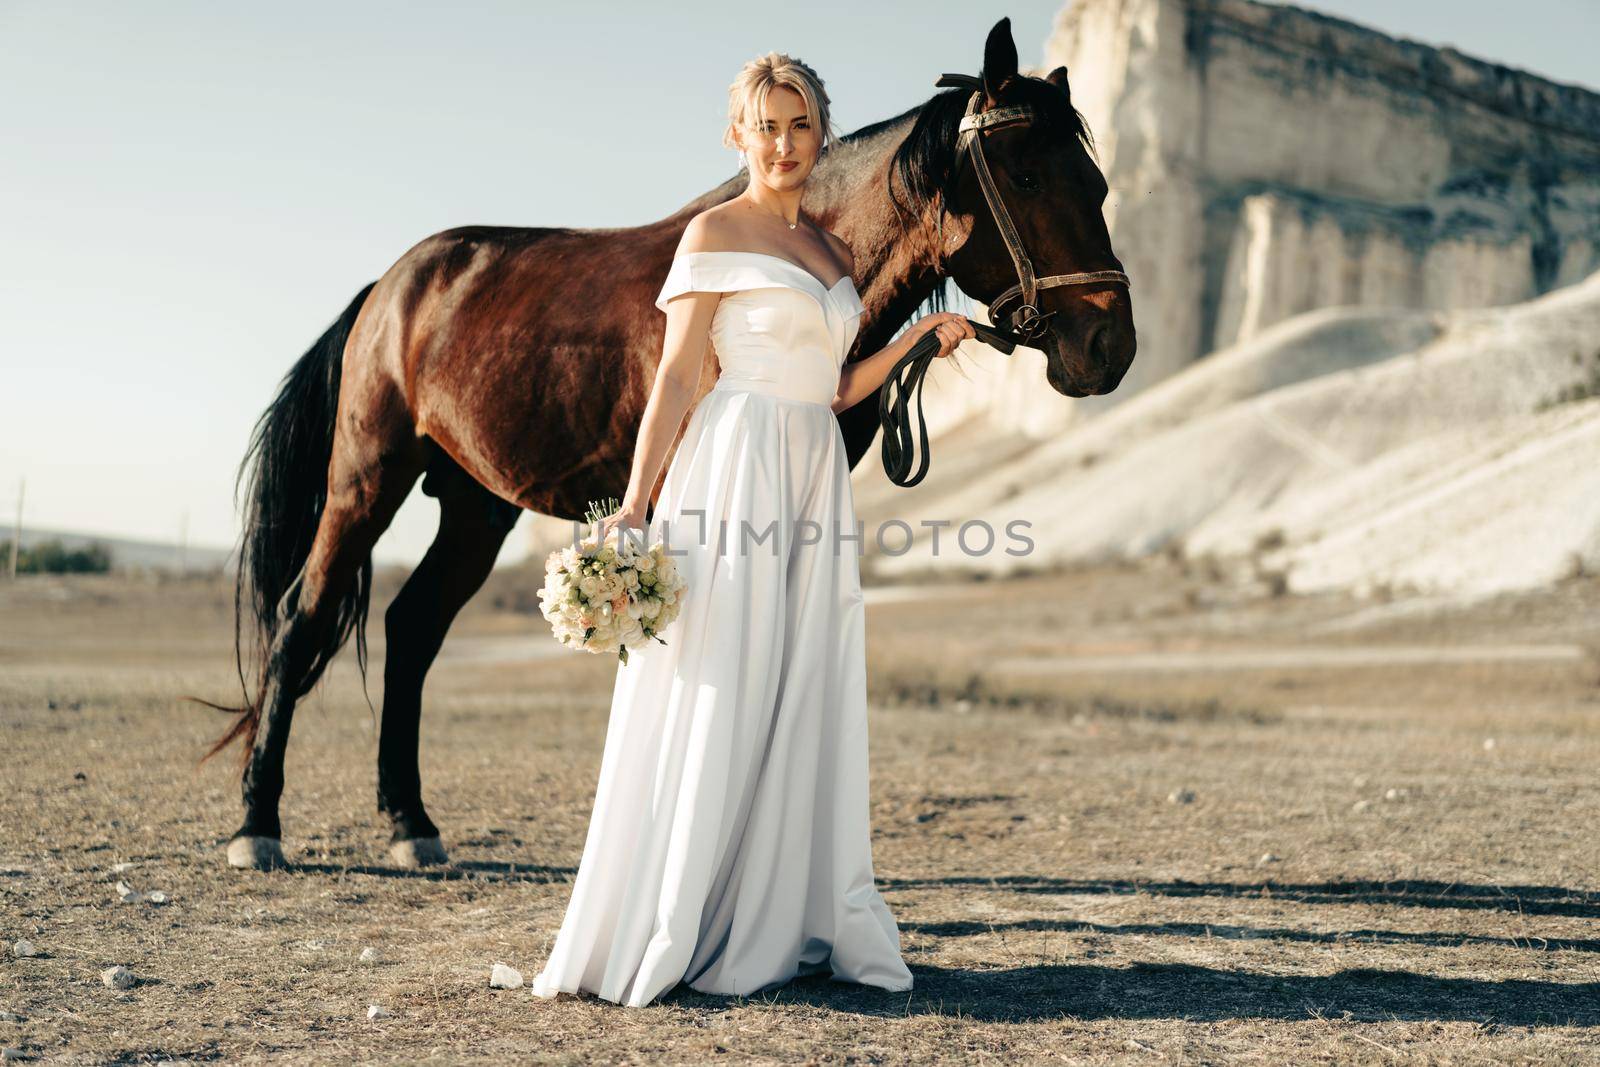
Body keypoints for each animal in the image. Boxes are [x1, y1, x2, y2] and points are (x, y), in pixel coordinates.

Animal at [193, 14, 1132, 870]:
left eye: (1096, 181)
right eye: (1025, 173)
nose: (1109, 348)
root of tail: (390, 286)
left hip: (475, 506)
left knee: (412, 628)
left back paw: (410, 823)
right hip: (367, 480)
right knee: (301, 622)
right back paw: (257, 826)